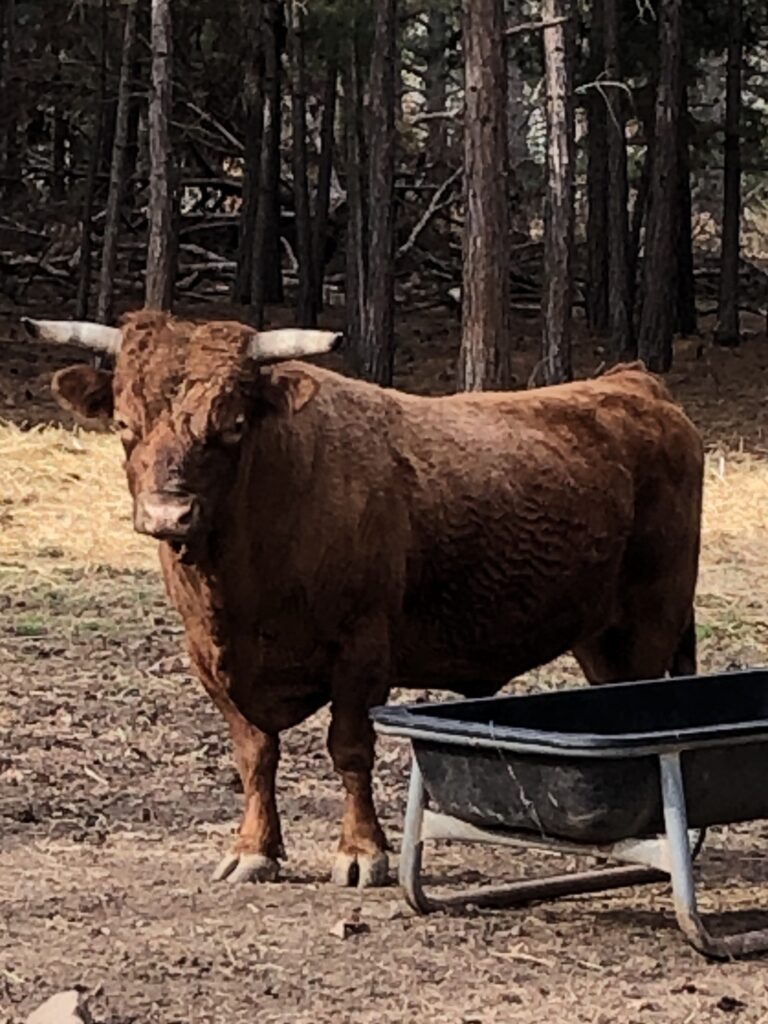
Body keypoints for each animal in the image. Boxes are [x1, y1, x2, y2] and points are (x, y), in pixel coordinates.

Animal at [22, 311, 704, 889]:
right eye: (122, 424)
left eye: (233, 424)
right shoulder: (210, 659)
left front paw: (360, 852)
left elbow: (349, 750)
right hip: (601, 637)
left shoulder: (361, 650)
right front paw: (253, 850)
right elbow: (254, 755)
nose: (167, 514)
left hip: (652, 621)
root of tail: (633, 382)